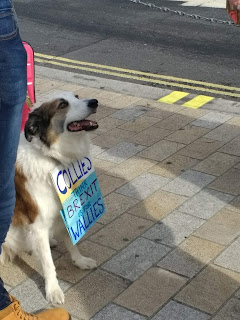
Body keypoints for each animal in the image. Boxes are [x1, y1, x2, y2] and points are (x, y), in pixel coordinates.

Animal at [0, 92, 99, 304]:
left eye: (77, 96)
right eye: (62, 105)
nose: (94, 102)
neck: (53, 157)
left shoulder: (64, 211)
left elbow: (71, 242)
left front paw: (80, 261)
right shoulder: (38, 225)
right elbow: (48, 264)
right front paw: (53, 290)